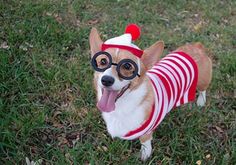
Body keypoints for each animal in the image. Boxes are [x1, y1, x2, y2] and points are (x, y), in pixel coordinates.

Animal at [88, 23, 212, 160]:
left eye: (127, 66)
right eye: (103, 61)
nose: (106, 80)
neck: (121, 106)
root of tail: (197, 47)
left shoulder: (147, 131)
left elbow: (145, 142)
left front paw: (145, 155)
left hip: (202, 81)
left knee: (203, 90)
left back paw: (201, 102)